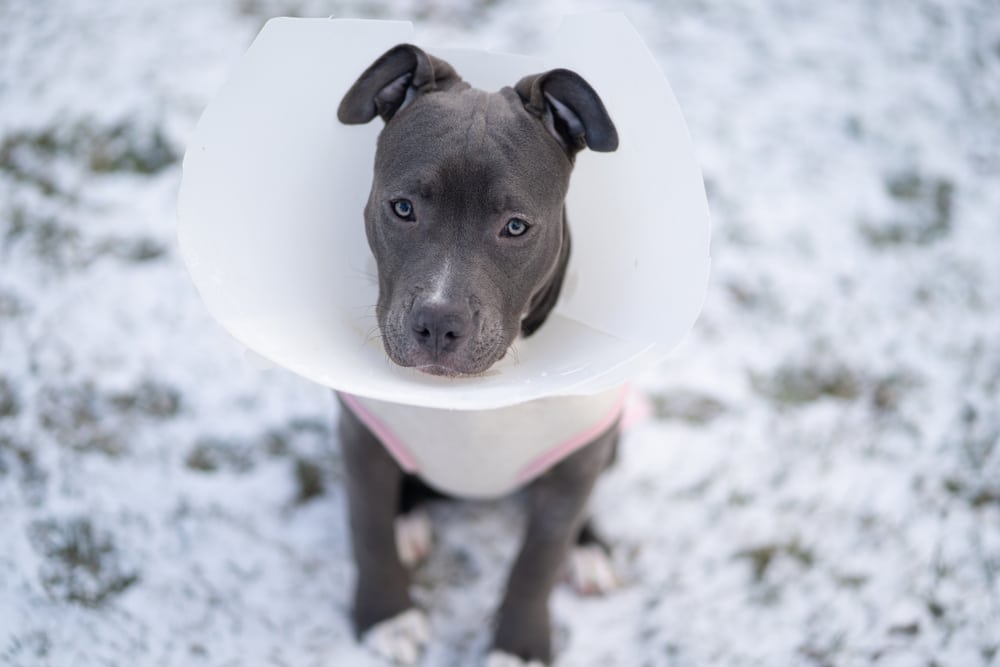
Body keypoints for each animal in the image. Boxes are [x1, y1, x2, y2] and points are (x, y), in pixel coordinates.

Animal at [336, 44, 616, 664]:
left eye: (515, 227)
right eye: (402, 208)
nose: (439, 323)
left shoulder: (576, 463)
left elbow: (539, 559)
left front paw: (519, 648)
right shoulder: (360, 435)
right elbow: (367, 526)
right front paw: (387, 617)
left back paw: (590, 550)